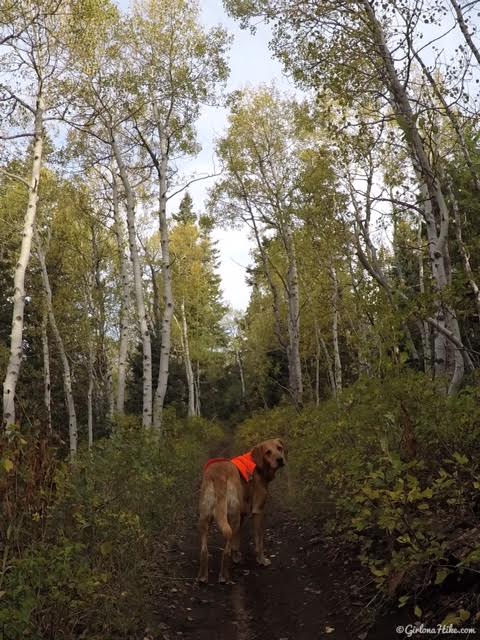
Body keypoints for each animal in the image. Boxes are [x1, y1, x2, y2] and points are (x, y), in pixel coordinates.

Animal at [197, 438, 286, 584]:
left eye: (279, 448)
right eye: (268, 452)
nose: (280, 459)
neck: (258, 465)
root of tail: (218, 475)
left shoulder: (242, 513)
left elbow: (237, 539)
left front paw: (237, 556)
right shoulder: (258, 510)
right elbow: (259, 541)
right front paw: (261, 560)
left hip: (205, 518)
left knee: (204, 550)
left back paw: (203, 576)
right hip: (232, 517)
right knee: (225, 550)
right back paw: (224, 576)